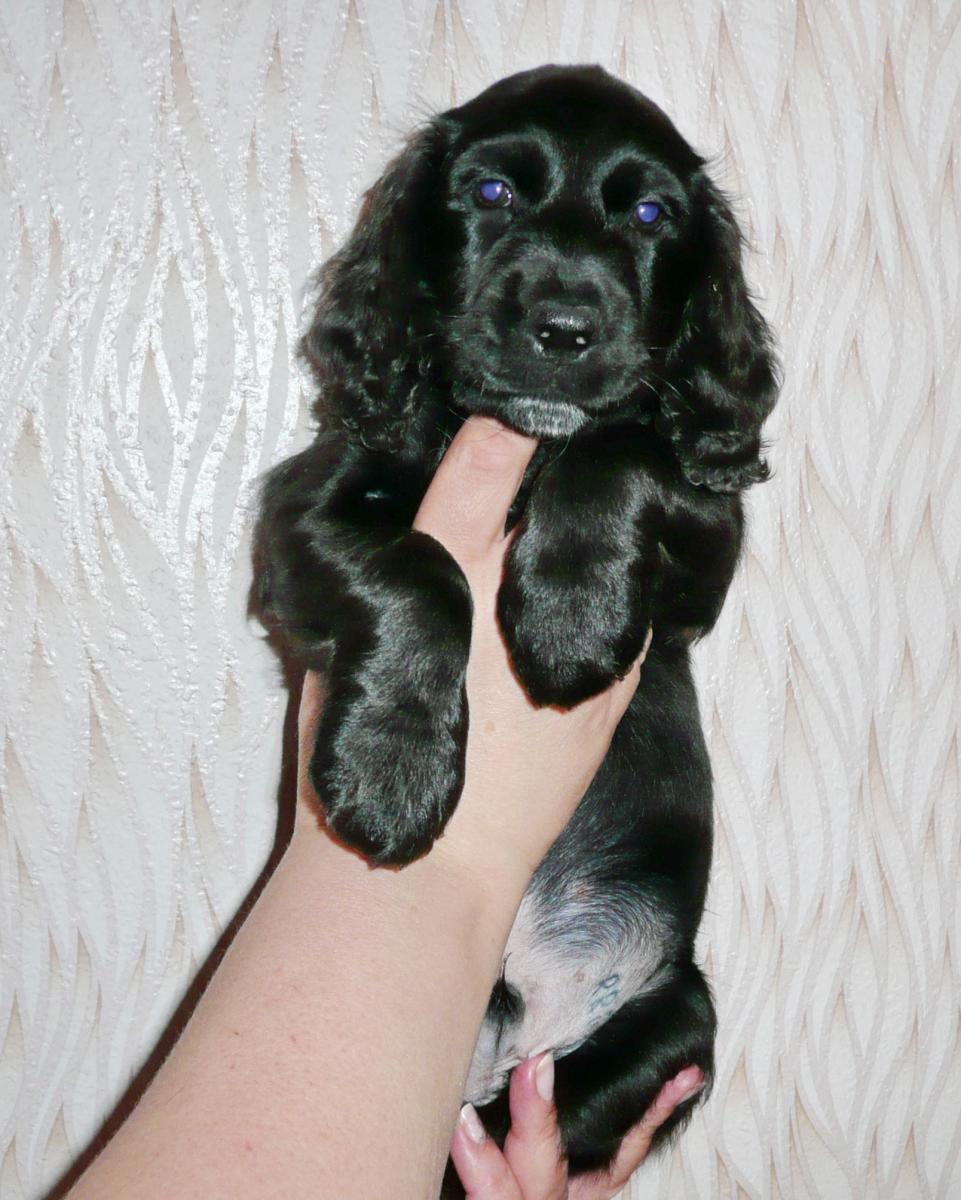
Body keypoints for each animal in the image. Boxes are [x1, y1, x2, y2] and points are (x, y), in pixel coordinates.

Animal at [257, 64, 778, 1180]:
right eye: (491, 193)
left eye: (650, 213)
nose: (565, 327)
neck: (520, 449)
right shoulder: (306, 507)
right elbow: (420, 571)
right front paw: (391, 773)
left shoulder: (705, 548)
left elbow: (619, 449)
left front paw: (569, 621)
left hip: (677, 1017)